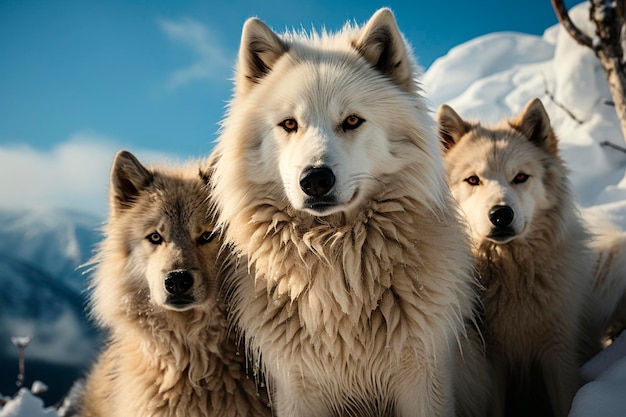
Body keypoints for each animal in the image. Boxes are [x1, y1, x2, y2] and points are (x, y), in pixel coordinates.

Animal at [436, 98, 596, 416]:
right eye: (473, 179)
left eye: (520, 177)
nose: (501, 214)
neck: (513, 278)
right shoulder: (493, 363)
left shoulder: (559, 352)